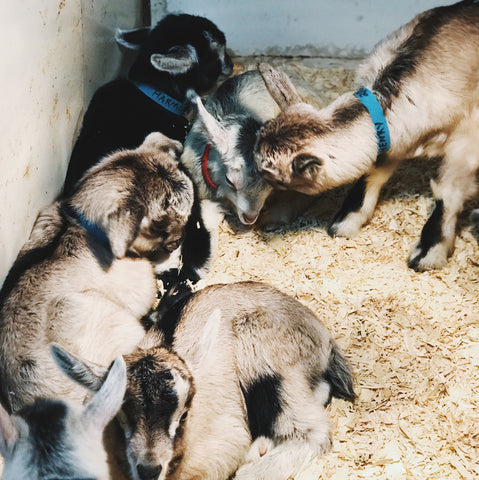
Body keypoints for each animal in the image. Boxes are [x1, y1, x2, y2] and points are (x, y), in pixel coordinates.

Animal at [53, 280, 356, 480]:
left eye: (185, 414)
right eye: (119, 415)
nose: (149, 469)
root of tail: (323, 336)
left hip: (264, 352)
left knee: (312, 430)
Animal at [256, 0, 479, 270]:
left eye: (272, 177)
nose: (261, 213)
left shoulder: (466, 144)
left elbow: (448, 193)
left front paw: (429, 252)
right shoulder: (391, 139)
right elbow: (373, 172)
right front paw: (347, 220)